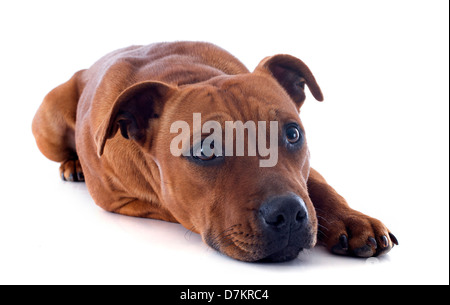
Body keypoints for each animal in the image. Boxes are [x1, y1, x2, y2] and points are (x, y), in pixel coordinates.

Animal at [32, 41, 398, 262]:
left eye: (293, 134)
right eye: (206, 150)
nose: (288, 212)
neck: (187, 75)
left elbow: (317, 186)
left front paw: (351, 219)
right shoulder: (128, 201)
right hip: (48, 124)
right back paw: (72, 164)